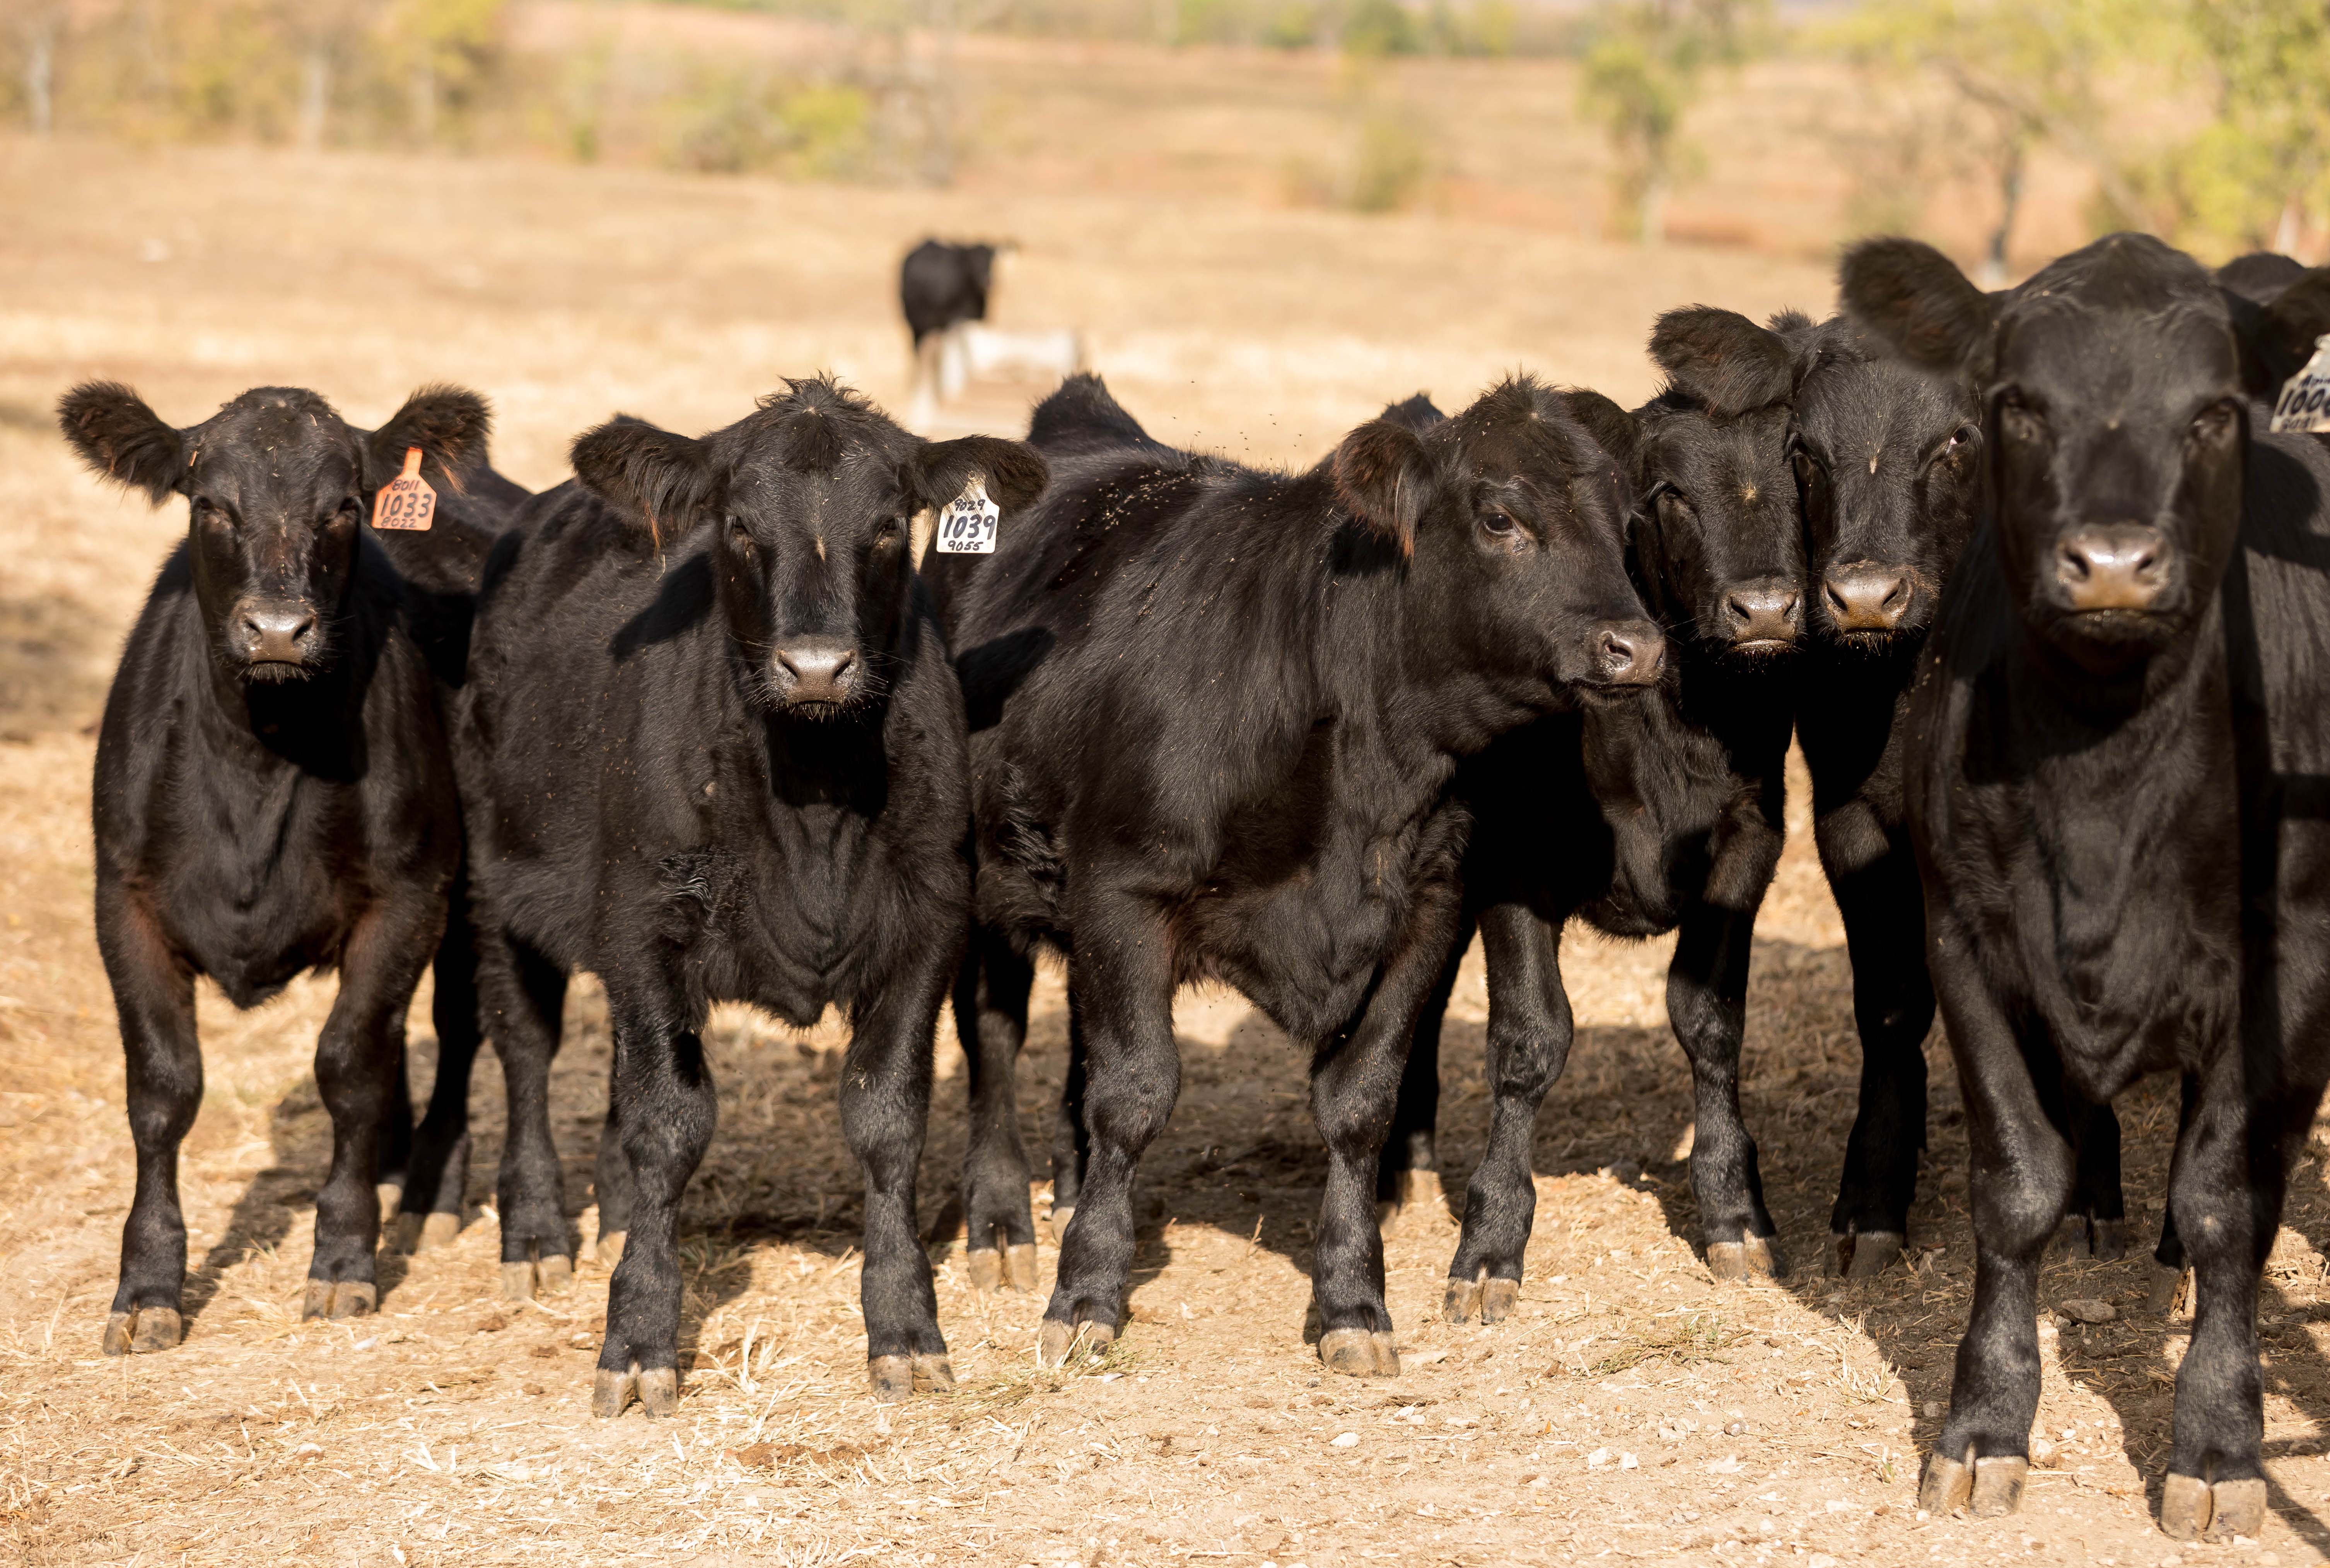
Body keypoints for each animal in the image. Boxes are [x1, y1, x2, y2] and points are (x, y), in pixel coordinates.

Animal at [63, 380, 501, 1342]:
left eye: (344, 507)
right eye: (208, 504)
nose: (275, 629)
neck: (259, 759)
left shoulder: (408, 895)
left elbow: (348, 1065)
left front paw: (344, 1258)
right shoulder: (125, 903)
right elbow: (163, 1087)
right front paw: (146, 1285)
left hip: (475, 895)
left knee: (454, 1028)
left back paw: (426, 1186)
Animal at [454, 380, 1039, 1416]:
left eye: (888, 525)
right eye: (737, 525)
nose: (816, 665)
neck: (813, 787)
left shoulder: (926, 927)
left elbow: (887, 1118)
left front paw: (905, 1326)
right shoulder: (644, 925)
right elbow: (670, 1122)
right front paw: (638, 1335)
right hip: (498, 881)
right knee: (524, 1048)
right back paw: (537, 1233)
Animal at [1845, 226, 2330, 1537]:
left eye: (2212, 412)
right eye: (2016, 405)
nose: (2112, 563)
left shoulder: (2292, 964)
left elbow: (2230, 1197)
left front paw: (2218, 1443)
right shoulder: (1965, 937)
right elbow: (2016, 1181)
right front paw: (1981, 1424)